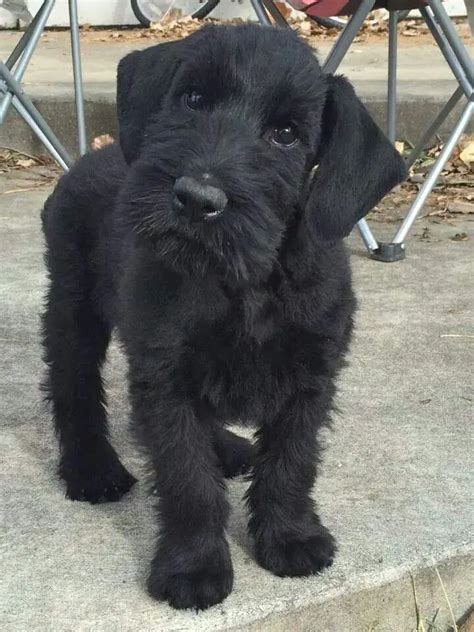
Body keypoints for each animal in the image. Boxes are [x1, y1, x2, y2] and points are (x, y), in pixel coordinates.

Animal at [40, 25, 406, 612]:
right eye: (193, 99)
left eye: (285, 134)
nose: (196, 198)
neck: (244, 279)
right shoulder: (165, 377)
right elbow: (187, 478)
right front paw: (194, 567)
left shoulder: (311, 378)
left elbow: (292, 462)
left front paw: (290, 538)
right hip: (73, 307)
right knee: (73, 387)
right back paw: (92, 468)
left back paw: (229, 447)